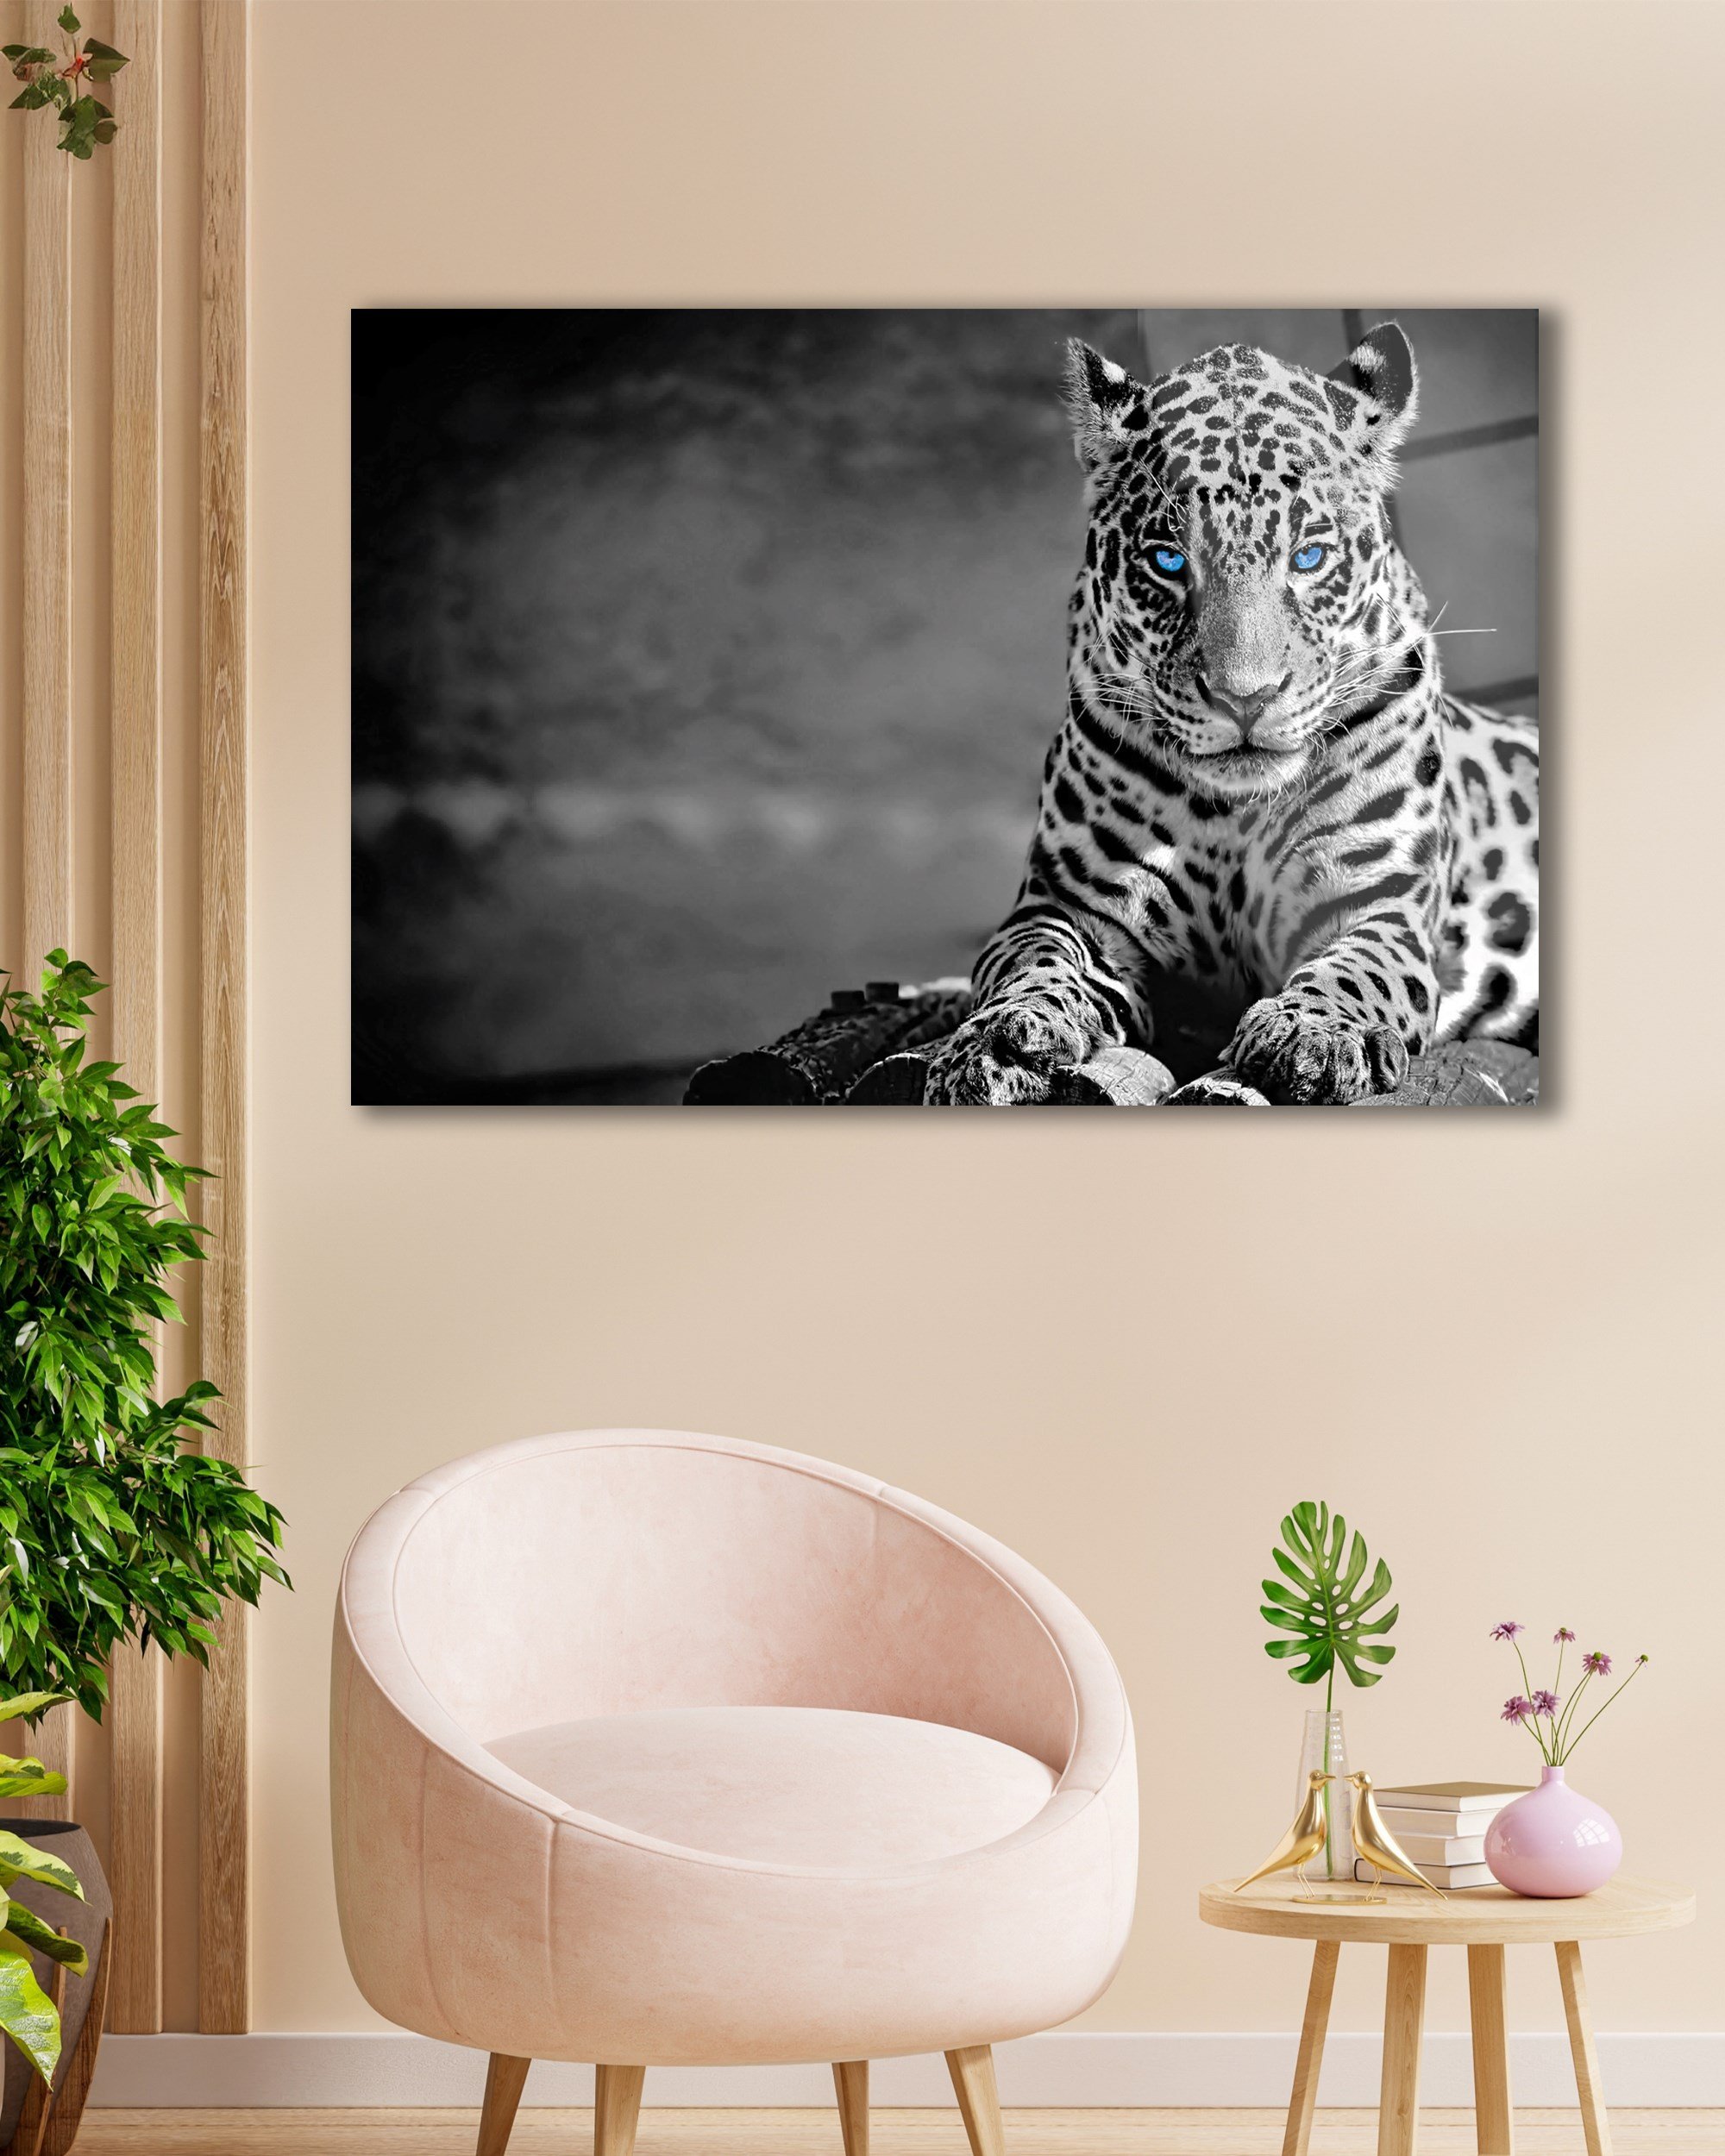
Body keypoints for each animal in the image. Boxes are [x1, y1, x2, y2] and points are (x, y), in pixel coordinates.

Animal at [922, 321, 1538, 1107]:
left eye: (1308, 557)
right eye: (1167, 562)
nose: (1245, 696)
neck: (1237, 815)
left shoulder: (1380, 904)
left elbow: (1355, 969)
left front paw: (1312, 1033)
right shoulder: (1065, 905)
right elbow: (1032, 961)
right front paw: (1000, 1040)